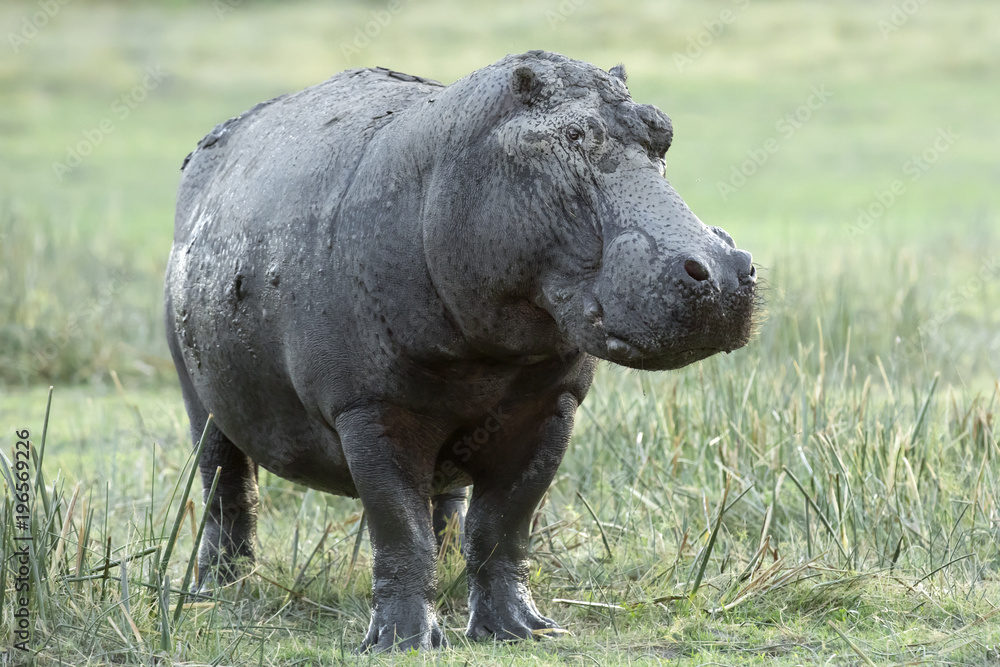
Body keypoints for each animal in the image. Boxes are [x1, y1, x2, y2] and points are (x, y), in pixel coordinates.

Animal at [164, 50, 756, 652]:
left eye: (662, 132)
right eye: (570, 135)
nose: (721, 274)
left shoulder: (550, 408)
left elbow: (503, 526)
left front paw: (524, 631)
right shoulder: (371, 409)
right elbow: (399, 529)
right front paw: (401, 644)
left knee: (443, 500)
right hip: (200, 397)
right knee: (224, 483)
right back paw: (219, 591)